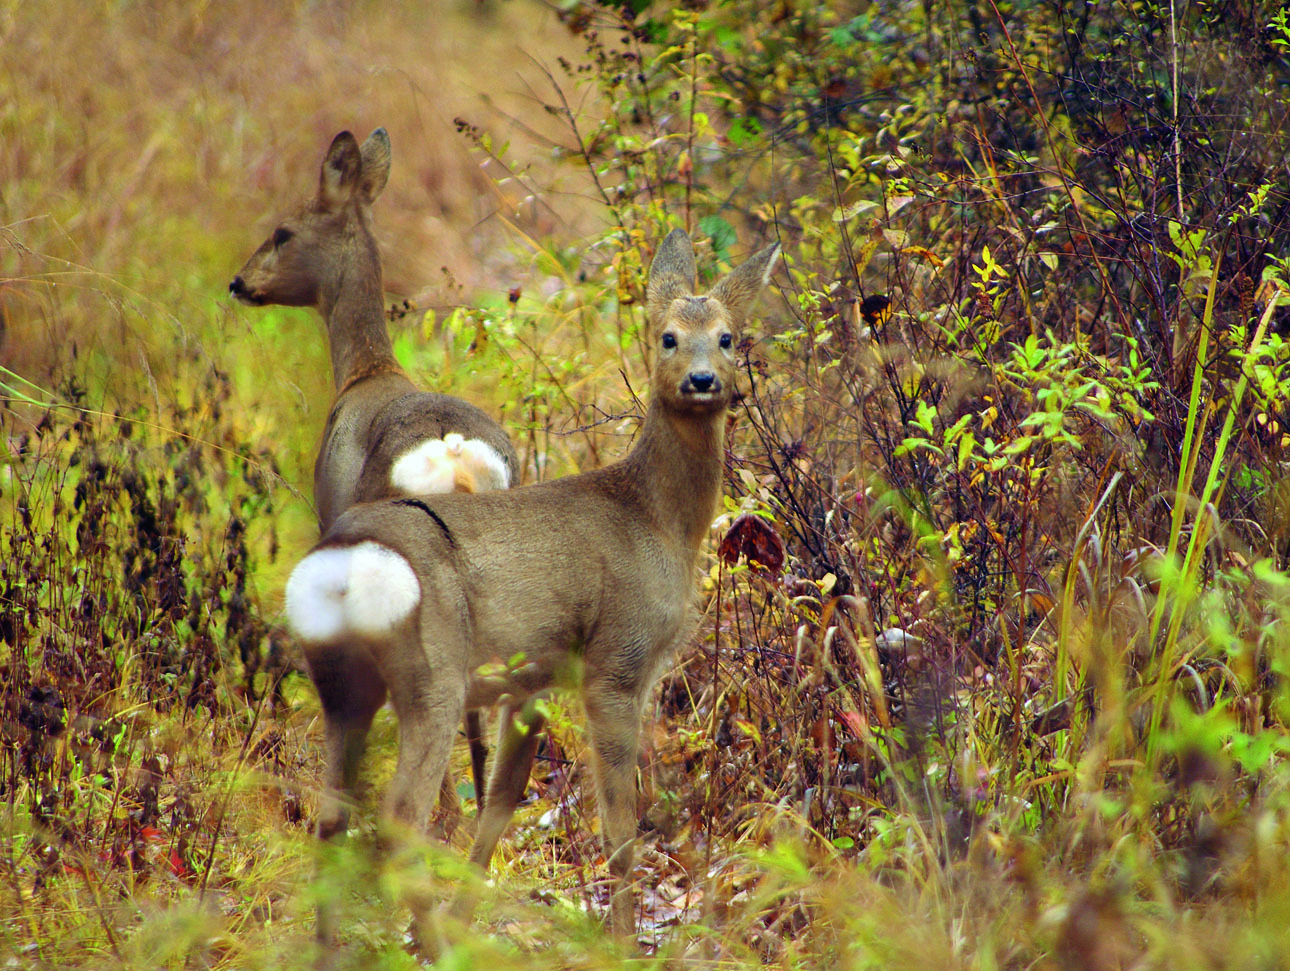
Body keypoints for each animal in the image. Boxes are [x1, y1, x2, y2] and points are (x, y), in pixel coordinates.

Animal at [285, 226, 774, 933]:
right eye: (668, 337)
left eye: (728, 336)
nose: (704, 379)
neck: (655, 519)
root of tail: (346, 561)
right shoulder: (616, 661)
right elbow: (619, 833)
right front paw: (622, 940)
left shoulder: (535, 676)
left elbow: (502, 802)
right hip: (432, 674)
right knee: (399, 819)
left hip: (342, 683)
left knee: (330, 820)